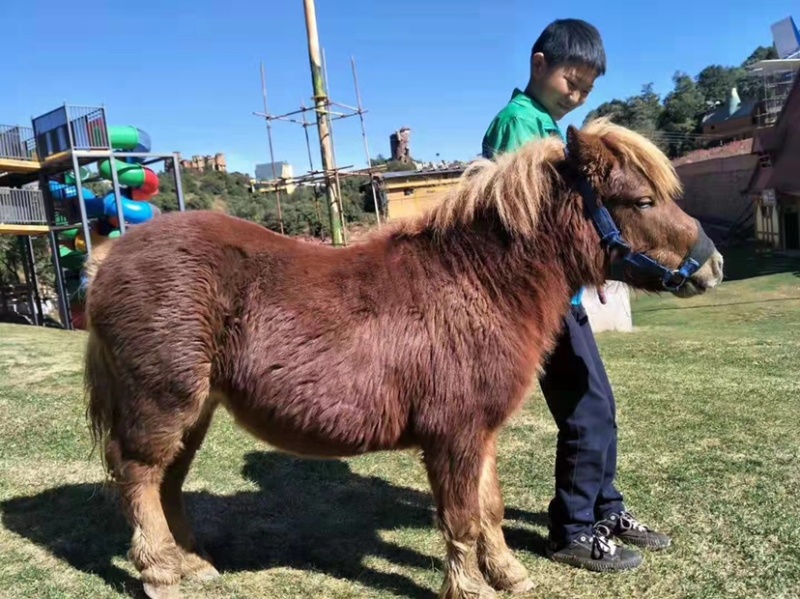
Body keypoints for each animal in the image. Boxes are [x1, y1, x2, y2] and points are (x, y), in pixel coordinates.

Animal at [83, 117, 724, 599]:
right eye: (642, 199)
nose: (714, 265)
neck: (477, 284)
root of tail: (108, 260)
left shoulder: (478, 433)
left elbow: (488, 508)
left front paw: (508, 574)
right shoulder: (453, 434)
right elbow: (461, 516)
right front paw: (470, 587)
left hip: (194, 412)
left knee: (166, 482)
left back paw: (193, 564)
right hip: (164, 404)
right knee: (139, 476)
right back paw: (160, 574)